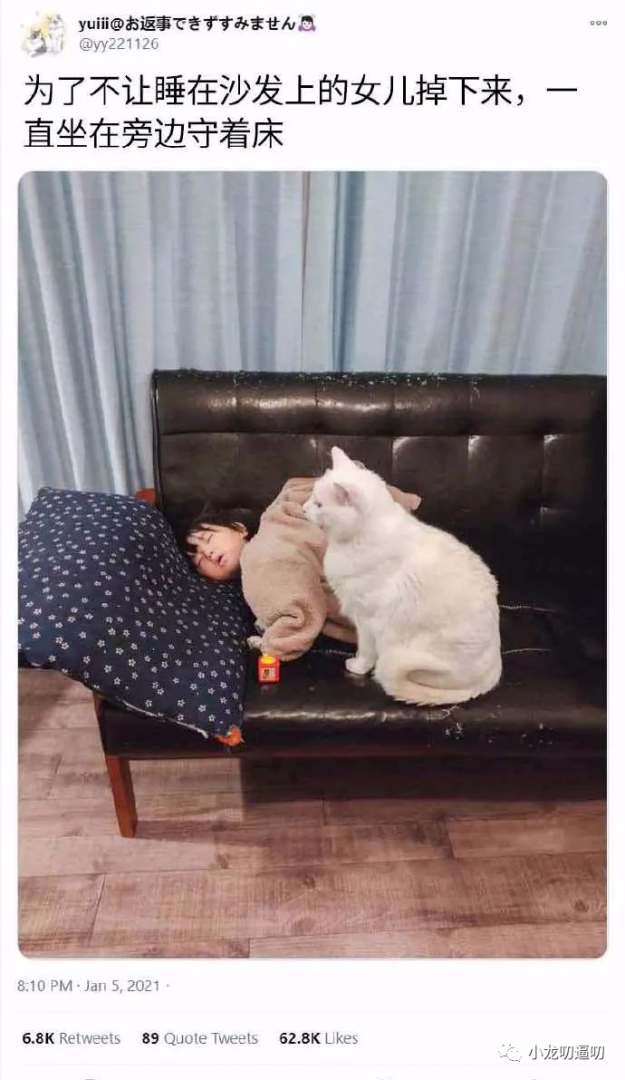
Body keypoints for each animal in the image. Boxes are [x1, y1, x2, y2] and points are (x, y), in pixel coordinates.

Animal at [303, 447, 502, 705]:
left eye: (319, 504)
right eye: (311, 498)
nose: (303, 508)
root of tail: (494, 673)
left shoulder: (366, 620)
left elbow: (365, 650)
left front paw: (358, 666)